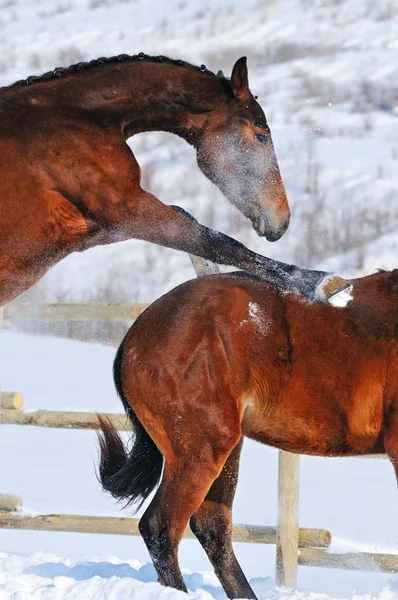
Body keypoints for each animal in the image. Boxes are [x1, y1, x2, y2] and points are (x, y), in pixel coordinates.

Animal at [0, 52, 346, 304]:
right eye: (261, 136)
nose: (282, 221)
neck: (77, 119)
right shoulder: (126, 209)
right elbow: (221, 243)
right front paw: (322, 283)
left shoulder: (100, 227)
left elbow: (193, 228)